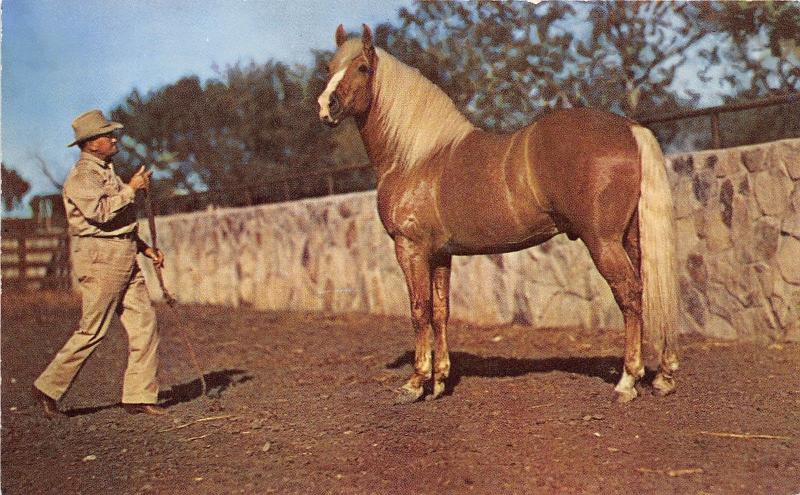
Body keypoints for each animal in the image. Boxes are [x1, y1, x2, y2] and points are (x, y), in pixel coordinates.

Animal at [316, 25, 680, 404]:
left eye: (362, 68)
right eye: (329, 68)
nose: (326, 106)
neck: (415, 158)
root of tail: (629, 128)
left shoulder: (410, 248)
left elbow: (419, 310)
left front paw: (415, 383)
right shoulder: (440, 254)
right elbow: (440, 311)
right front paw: (440, 381)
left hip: (603, 242)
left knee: (630, 294)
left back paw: (627, 381)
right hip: (631, 238)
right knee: (648, 289)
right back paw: (662, 376)